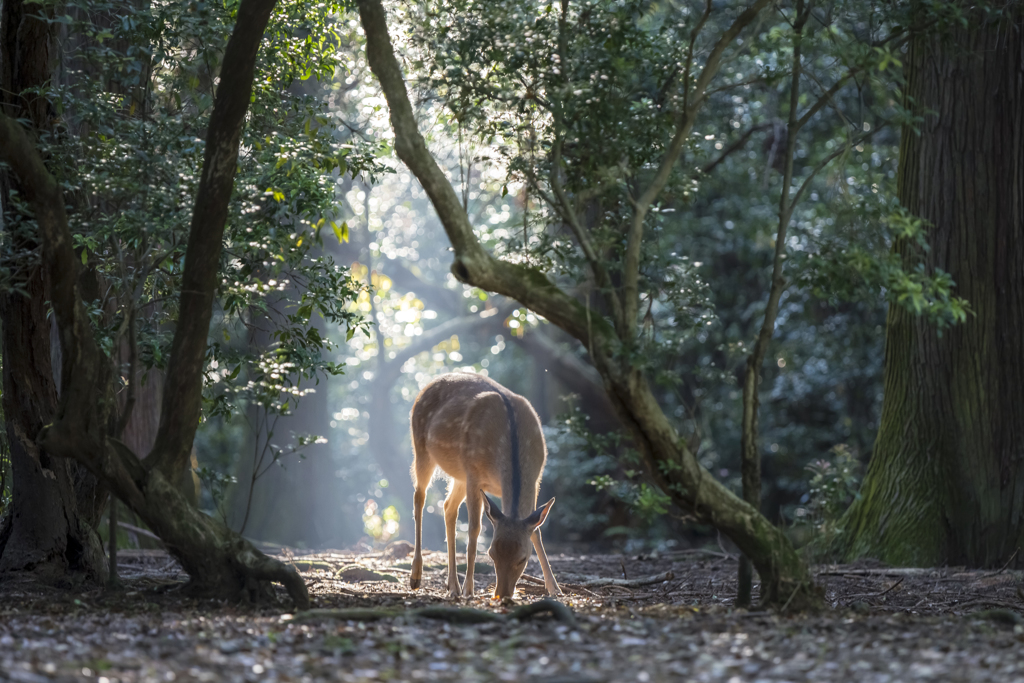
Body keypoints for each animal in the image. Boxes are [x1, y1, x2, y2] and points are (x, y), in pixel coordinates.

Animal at [405, 370, 561, 602]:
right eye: (491, 554)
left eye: (523, 558)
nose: (502, 594)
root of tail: (427, 386)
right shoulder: (474, 474)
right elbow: (474, 530)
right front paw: (469, 589)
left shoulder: (536, 480)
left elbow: (536, 532)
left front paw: (555, 589)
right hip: (421, 447)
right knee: (419, 499)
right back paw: (416, 577)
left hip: (459, 474)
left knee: (448, 507)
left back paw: (452, 586)